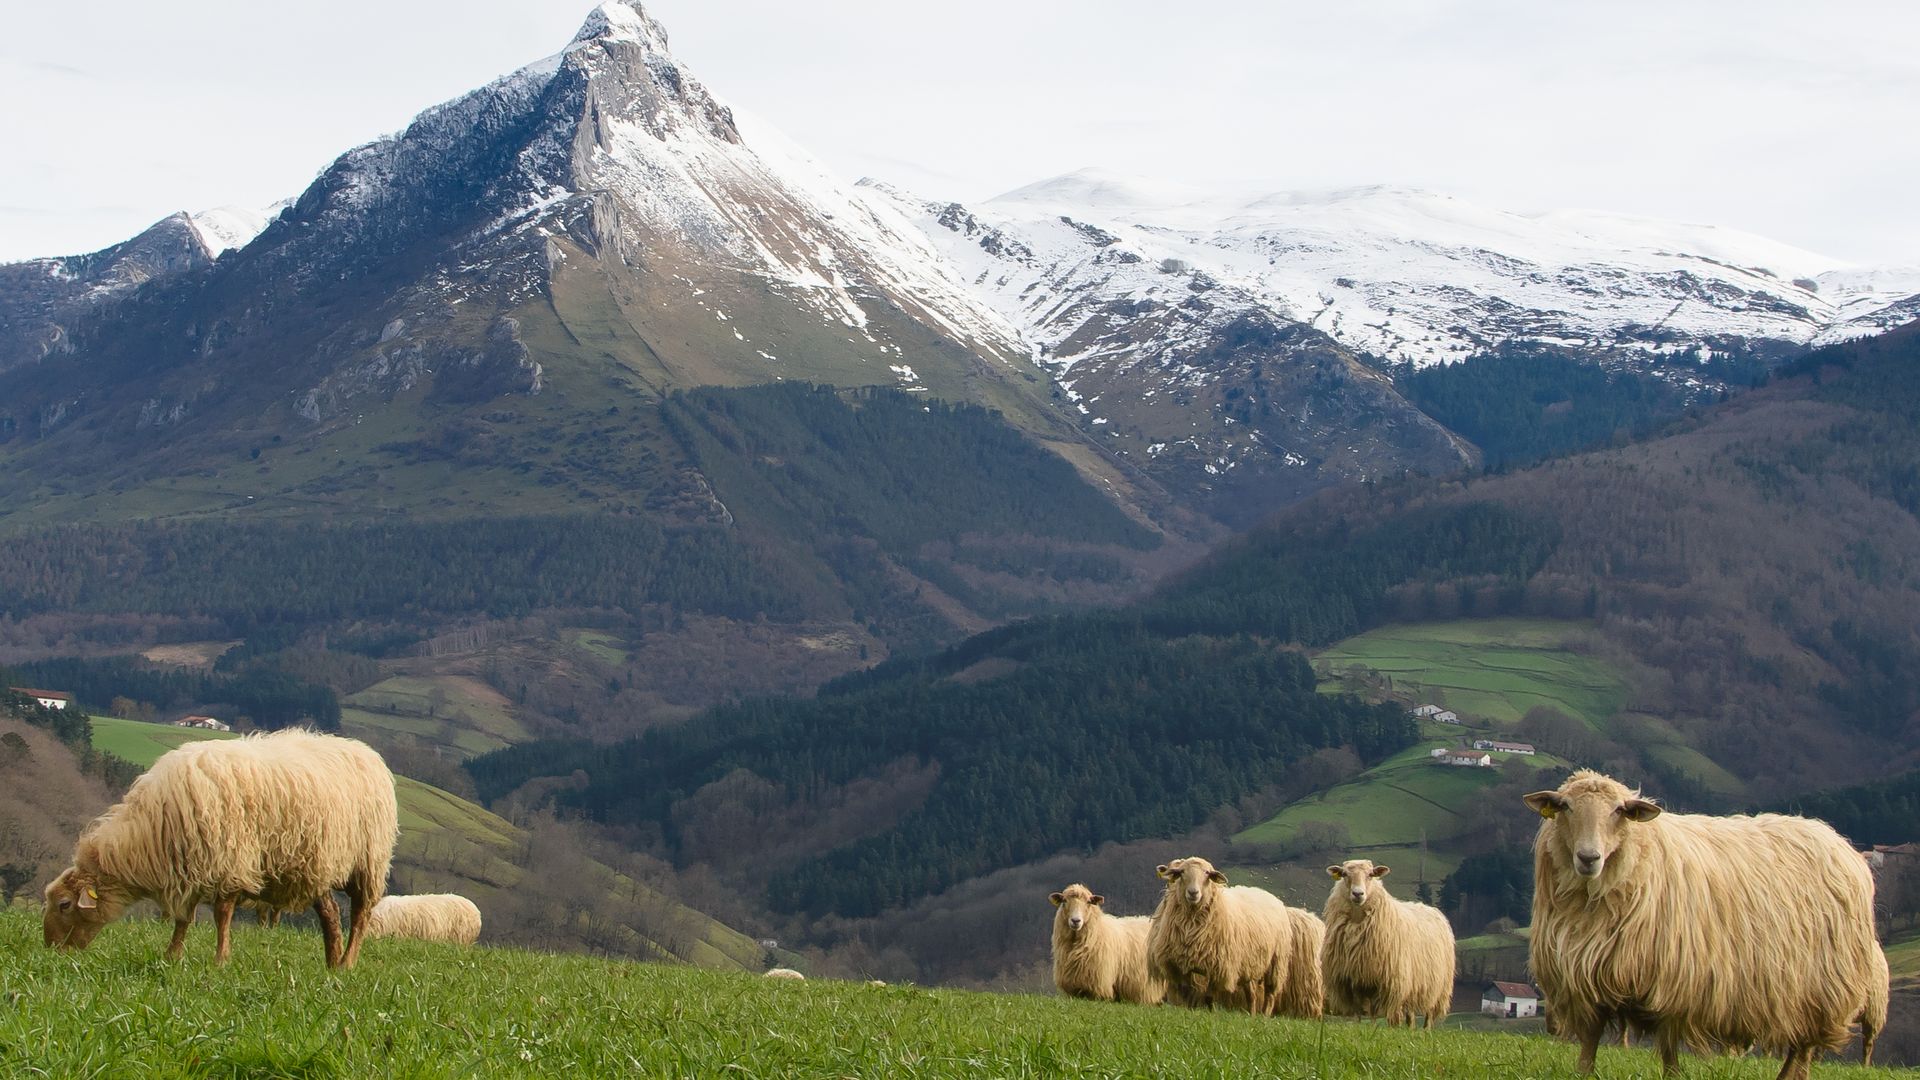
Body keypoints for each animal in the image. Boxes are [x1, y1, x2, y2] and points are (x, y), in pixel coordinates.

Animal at [43, 729, 398, 969]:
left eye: (64, 905)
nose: (50, 949)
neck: (150, 832)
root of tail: (364, 751)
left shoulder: (229, 862)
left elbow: (222, 915)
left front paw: (220, 959)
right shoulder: (188, 869)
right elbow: (183, 919)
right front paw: (172, 955)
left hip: (367, 862)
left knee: (360, 914)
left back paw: (348, 962)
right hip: (315, 864)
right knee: (330, 913)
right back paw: (332, 963)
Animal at [1146, 856, 1293, 1014]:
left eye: (1207, 873)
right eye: (1181, 872)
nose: (1193, 893)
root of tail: (1267, 894)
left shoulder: (1218, 966)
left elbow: (1209, 997)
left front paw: (1211, 1013)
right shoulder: (1181, 964)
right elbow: (1189, 995)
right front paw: (1190, 1012)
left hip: (1276, 962)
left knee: (1270, 994)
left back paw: (1264, 1014)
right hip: (1248, 963)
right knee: (1251, 994)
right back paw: (1251, 1014)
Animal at [1319, 858, 1454, 1028]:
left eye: (1371, 875)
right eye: (1344, 874)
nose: (1358, 894)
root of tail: (1431, 909)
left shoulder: (1385, 982)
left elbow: (1378, 1012)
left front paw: (1376, 1029)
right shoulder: (1352, 979)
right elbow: (1357, 1012)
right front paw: (1360, 1028)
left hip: (1436, 986)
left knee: (1429, 1014)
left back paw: (1426, 1031)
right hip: (1412, 986)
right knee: (1410, 1015)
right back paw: (1410, 1030)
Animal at [1524, 769, 1883, 1080]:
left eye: (1619, 811)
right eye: (1565, 807)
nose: (1589, 858)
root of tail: (1835, 840)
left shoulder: (1675, 980)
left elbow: (1668, 1048)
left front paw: (1671, 1075)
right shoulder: (1587, 978)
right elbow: (1590, 1039)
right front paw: (1583, 1072)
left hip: (1821, 991)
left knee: (1804, 1049)